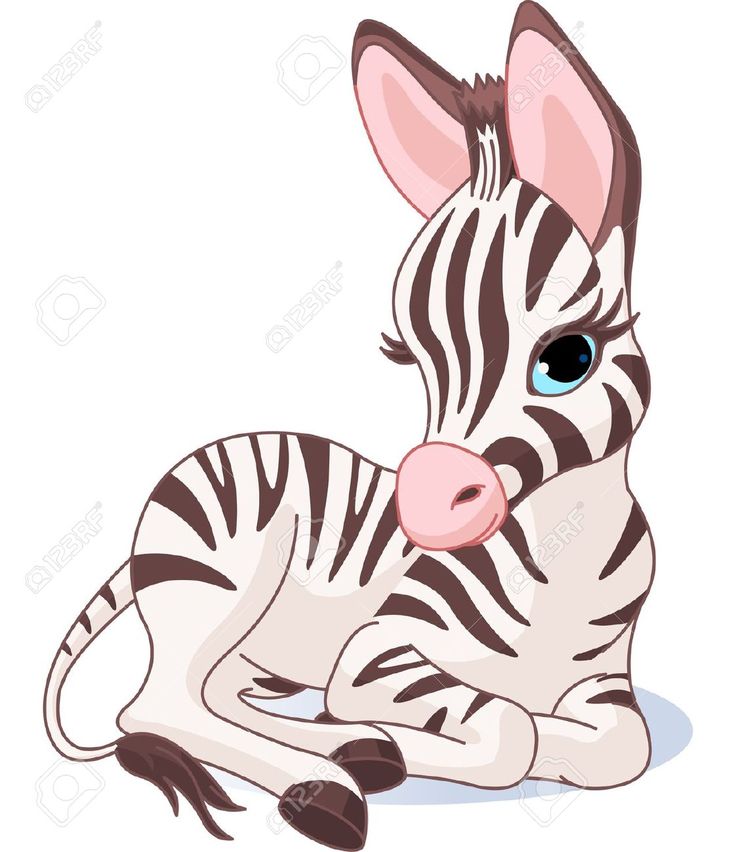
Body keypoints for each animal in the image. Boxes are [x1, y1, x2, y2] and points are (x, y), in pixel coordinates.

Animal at [43, 3, 654, 849]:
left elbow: (616, 745)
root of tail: (201, 455)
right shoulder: (379, 651)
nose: (423, 511)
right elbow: (509, 732)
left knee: (217, 694)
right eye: (408, 356)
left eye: (568, 358)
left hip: (253, 646)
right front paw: (424, 741)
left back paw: (343, 749)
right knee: (154, 704)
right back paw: (328, 783)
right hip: (225, 577)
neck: (564, 555)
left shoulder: (604, 681)